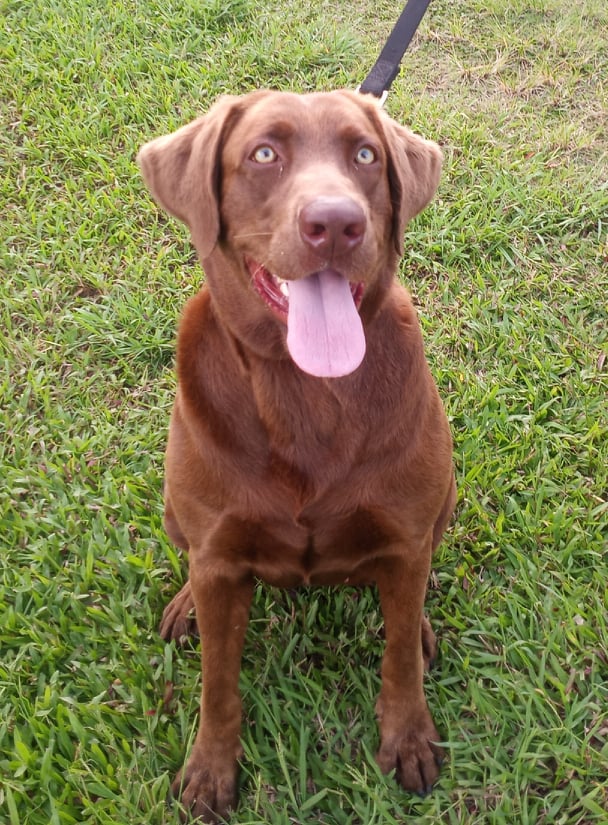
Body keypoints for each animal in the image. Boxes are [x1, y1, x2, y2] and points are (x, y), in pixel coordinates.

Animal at [139, 87, 456, 820]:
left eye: (365, 156)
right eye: (263, 154)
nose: (335, 223)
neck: (305, 388)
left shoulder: (405, 535)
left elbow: (398, 655)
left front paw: (409, 737)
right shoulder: (220, 552)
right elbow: (217, 682)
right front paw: (209, 770)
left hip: (444, 503)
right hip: (176, 513)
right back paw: (185, 607)